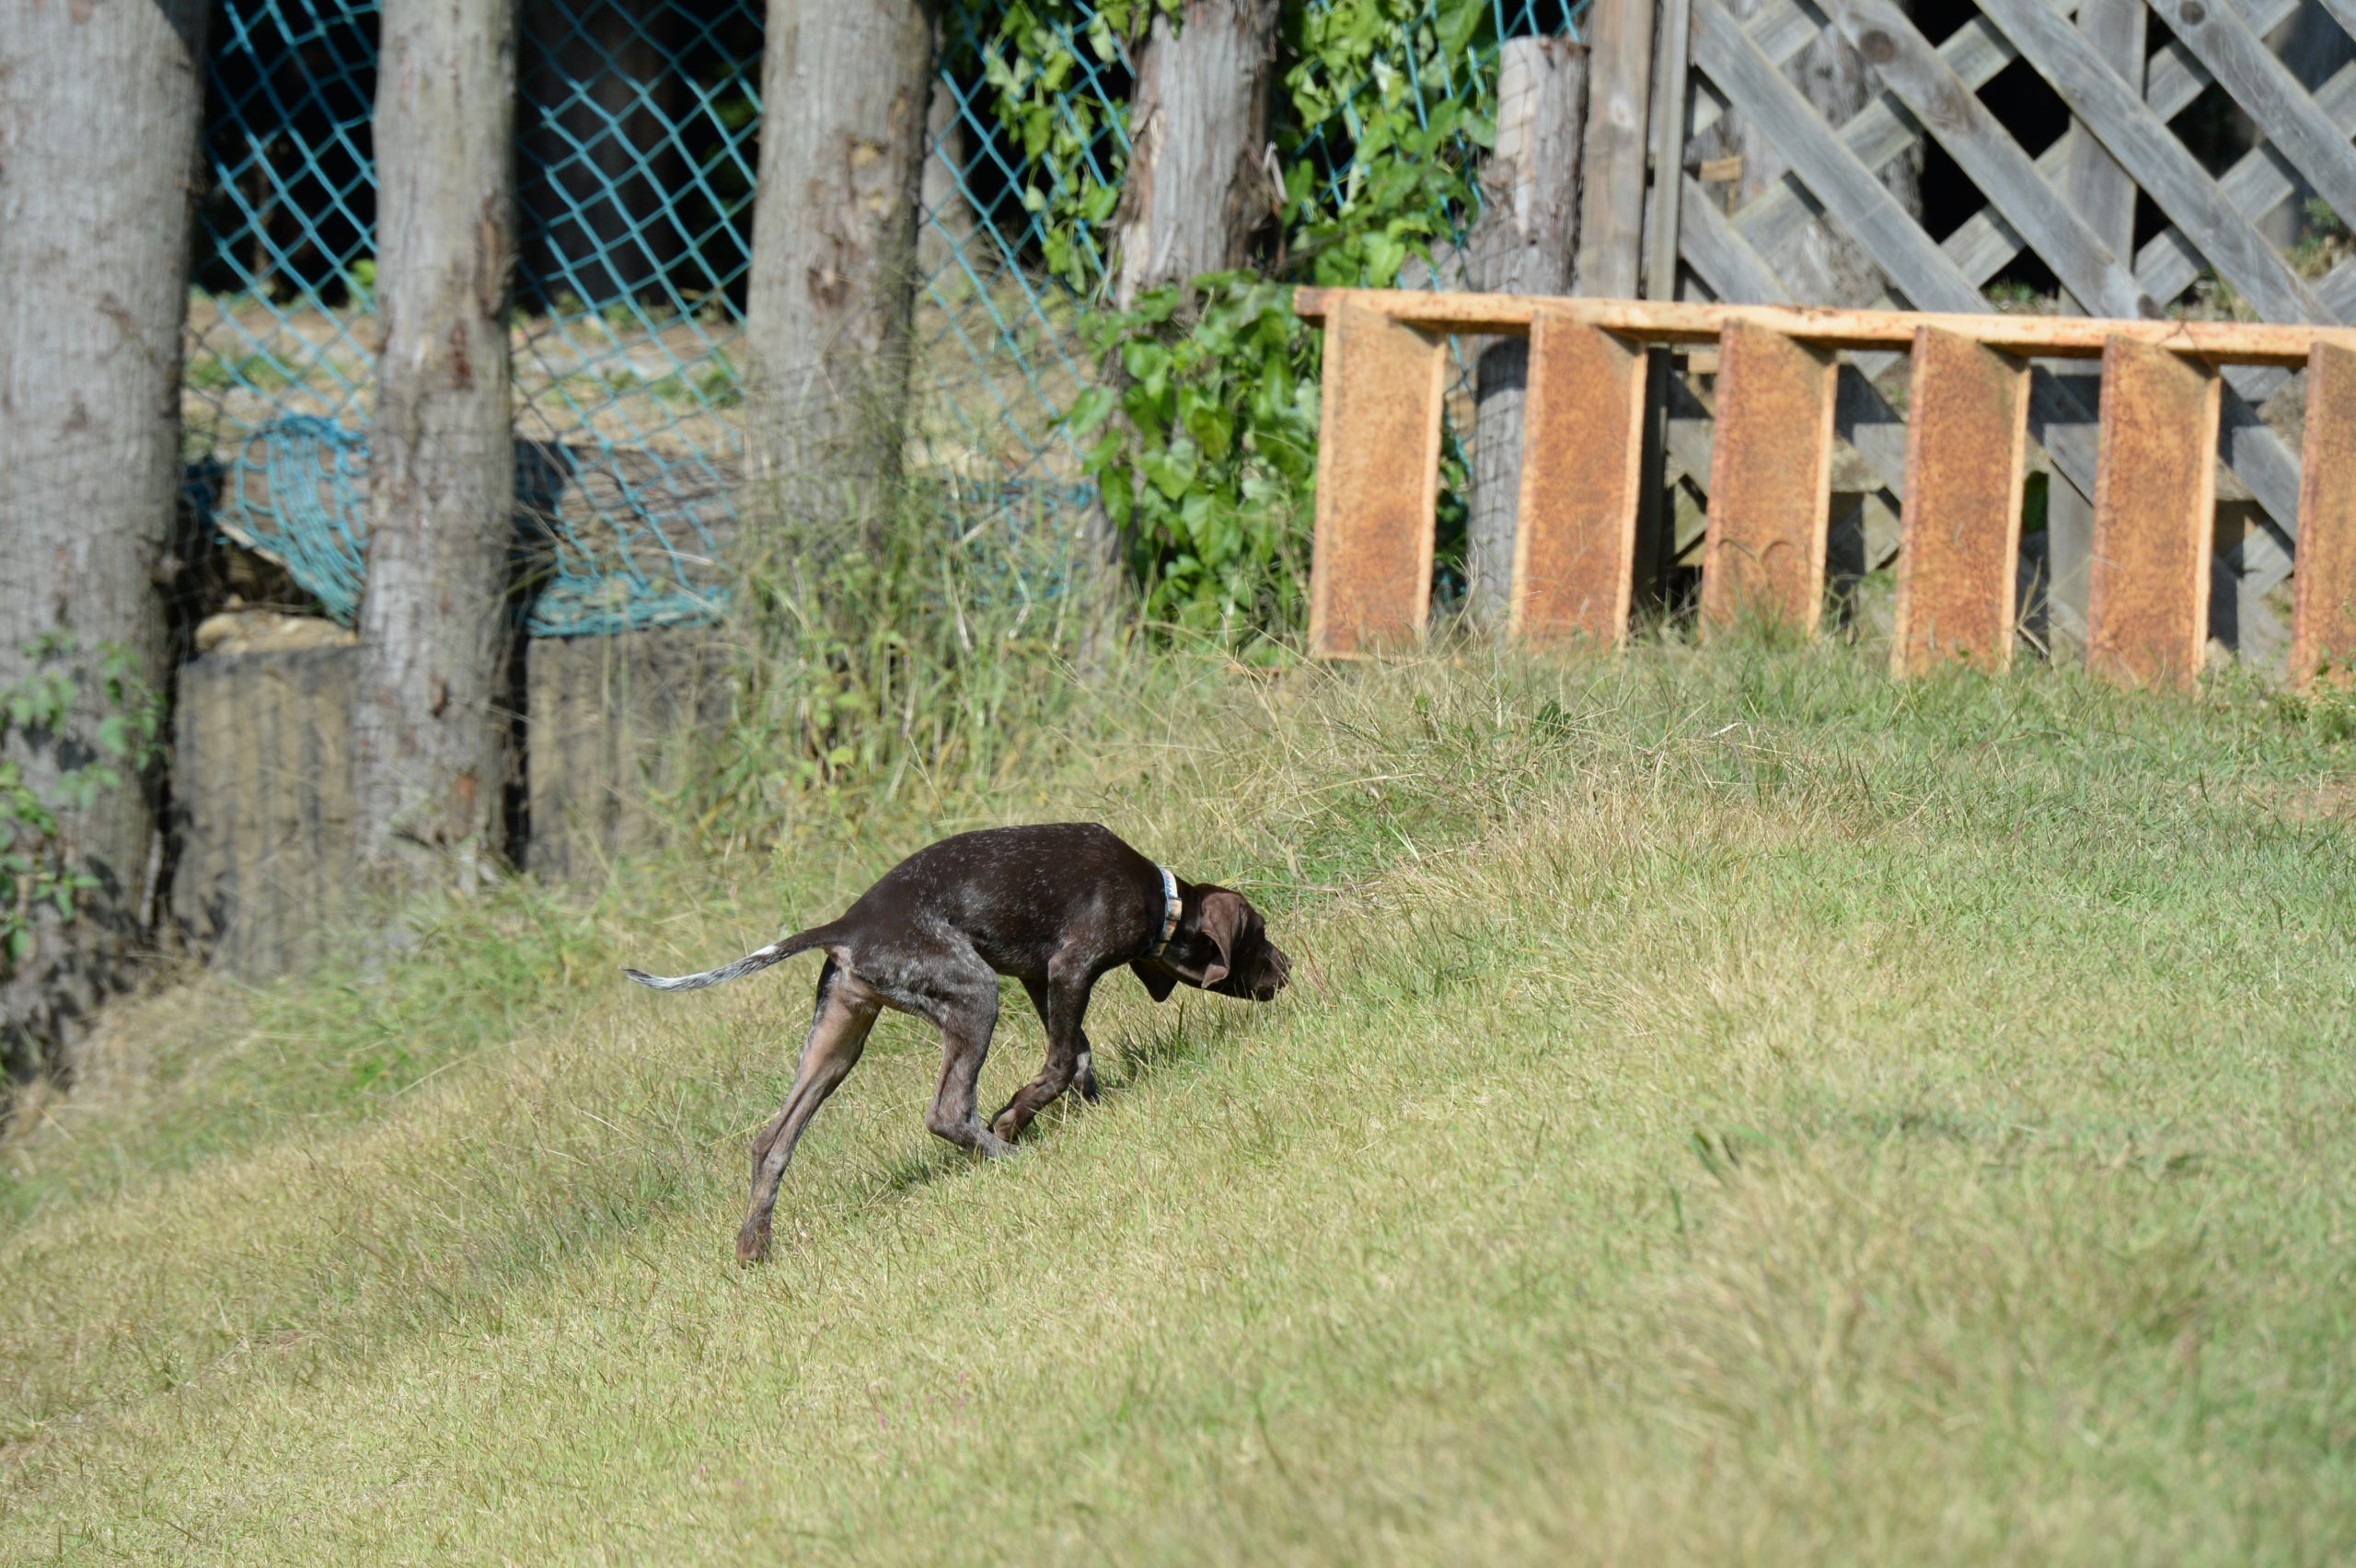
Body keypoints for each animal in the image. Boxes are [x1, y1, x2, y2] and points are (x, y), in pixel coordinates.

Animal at [624, 822, 1290, 1262]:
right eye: (1258, 933)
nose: (1286, 972)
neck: (1160, 900)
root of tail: (846, 925)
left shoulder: (1040, 978)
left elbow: (1077, 1055)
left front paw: (1084, 1109)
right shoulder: (1069, 969)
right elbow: (1059, 1061)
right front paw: (1016, 1118)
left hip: (837, 1043)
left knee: (771, 1142)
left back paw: (754, 1244)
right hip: (974, 994)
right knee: (947, 1112)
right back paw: (1011, 1157)